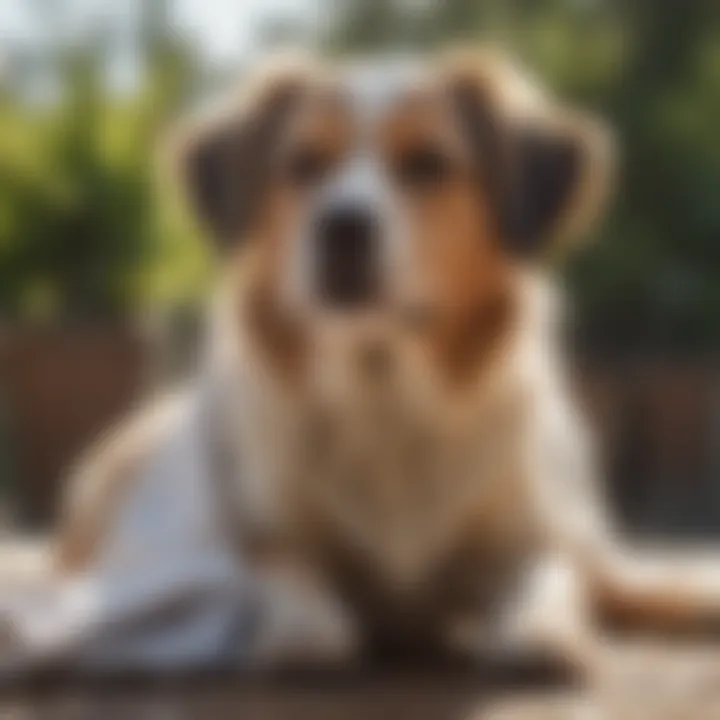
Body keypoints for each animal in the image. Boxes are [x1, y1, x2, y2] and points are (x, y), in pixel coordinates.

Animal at [38, 49, 720, 668]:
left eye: (428, 163)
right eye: (302, 164)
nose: (341, 228)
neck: (384, 393)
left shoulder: (530, 536)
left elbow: (549, 597)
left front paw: (534, 628)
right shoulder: (266, 543)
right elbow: (306, 616)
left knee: (606, 571)